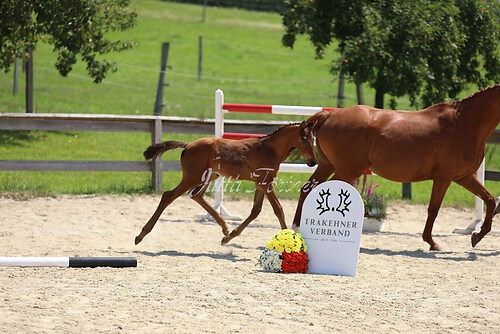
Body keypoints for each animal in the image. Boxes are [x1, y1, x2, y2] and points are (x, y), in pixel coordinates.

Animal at [135, 121, 314, 244]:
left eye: (312, 139)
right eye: (303, 139)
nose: (312, 162)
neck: (268, 150)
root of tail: (187, 145)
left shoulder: (260, 183)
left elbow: (256, 211)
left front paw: (229, 238)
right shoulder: (265, 183)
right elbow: (278, 209)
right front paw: (290, 239)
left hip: (210, 176)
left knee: (196, 195)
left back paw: (225, 229)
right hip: (192, 177)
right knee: (168, 196)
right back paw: (141, 235)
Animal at [292, 84, 500, 250]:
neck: (463, 124)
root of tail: (329, 114)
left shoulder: (464, 177)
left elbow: (490, 200)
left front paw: (477, 236)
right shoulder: (444, 178)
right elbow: (433, 210)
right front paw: (432, 242)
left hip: (328, 166)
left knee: (307, 189)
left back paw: (297, 228)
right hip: (347, 170)